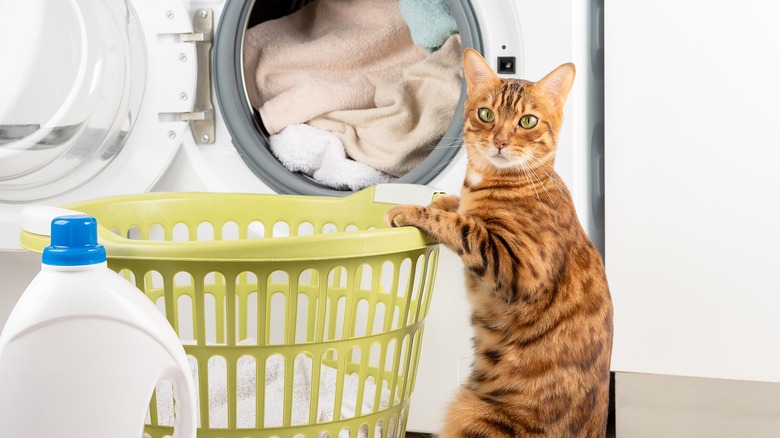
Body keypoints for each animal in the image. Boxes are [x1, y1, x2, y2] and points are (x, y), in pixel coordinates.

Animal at [386, 49, 612, 436]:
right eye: (486, 114)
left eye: (527, 121)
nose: (500, 142)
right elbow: (454, 206)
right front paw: (437, 201)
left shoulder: (520, 268)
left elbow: (463, 225)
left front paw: (410, 210)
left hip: (474, 416)